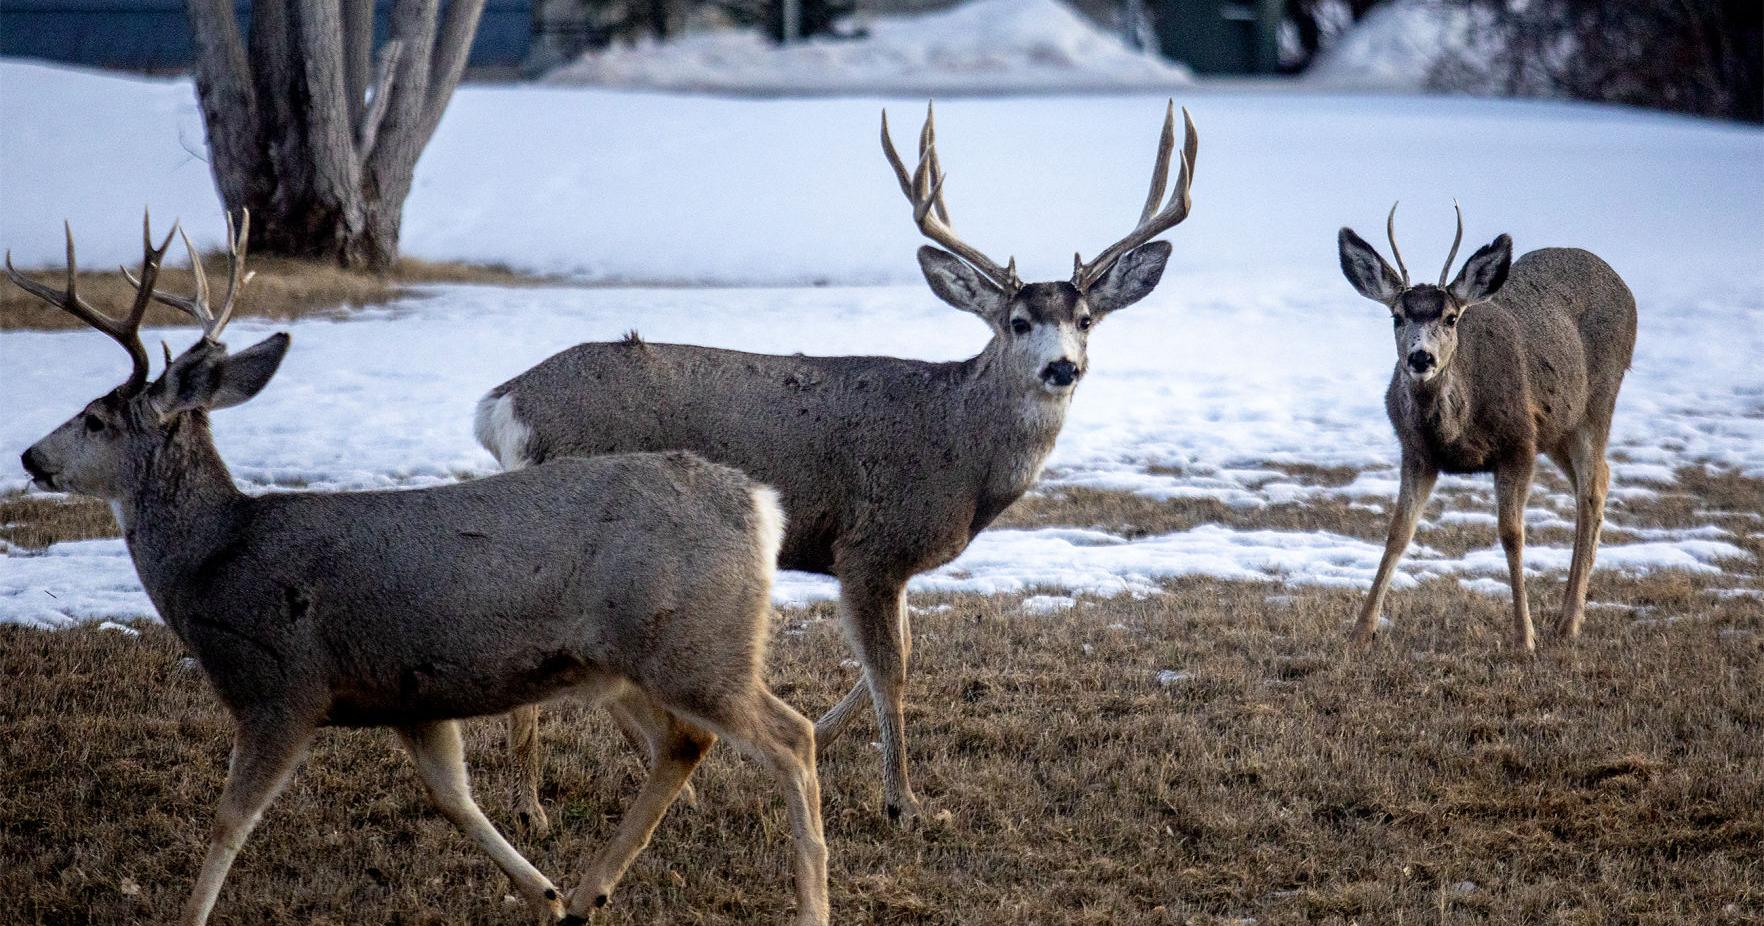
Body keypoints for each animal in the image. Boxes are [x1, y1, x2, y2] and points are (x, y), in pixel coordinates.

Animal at [10, 214, 829, 926]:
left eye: (94, 419)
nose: (29, 456)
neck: (214, 557)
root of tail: (759, 506)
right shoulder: (410, 694)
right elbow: (453, 797)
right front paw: (543, 893)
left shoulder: (280, 683)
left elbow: (229, 822)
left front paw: (189, 916)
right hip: (639, 654)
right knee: (688, 742)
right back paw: (588, 892)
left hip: (694, 642)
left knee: (790, 737)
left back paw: (810, 907)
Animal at [477, 101, 1199, 828]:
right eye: (1018, 321)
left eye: (1086, 319)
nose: (1062, 367)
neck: (960, 448)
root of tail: (504, 402)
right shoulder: (870, 547)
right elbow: (892, 670)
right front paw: (905, 803)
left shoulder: (881, 564)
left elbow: (897, 658)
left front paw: (817, 741)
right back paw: (530, 806)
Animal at [1336, 203, 1636, 652]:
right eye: (1397, 316)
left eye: (1451, 317)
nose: (1421, 357)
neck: (1456, 429)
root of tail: (1622, 285)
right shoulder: (1417, 452)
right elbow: (1397, 532)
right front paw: (1361, 631)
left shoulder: (1520, 443)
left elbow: (1512, 534)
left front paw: (1524, 637)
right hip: (1560, 427)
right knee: (1596, 479)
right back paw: (1567, 616)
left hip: (1598, 400)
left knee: (1592, 486)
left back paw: (1568, 621)